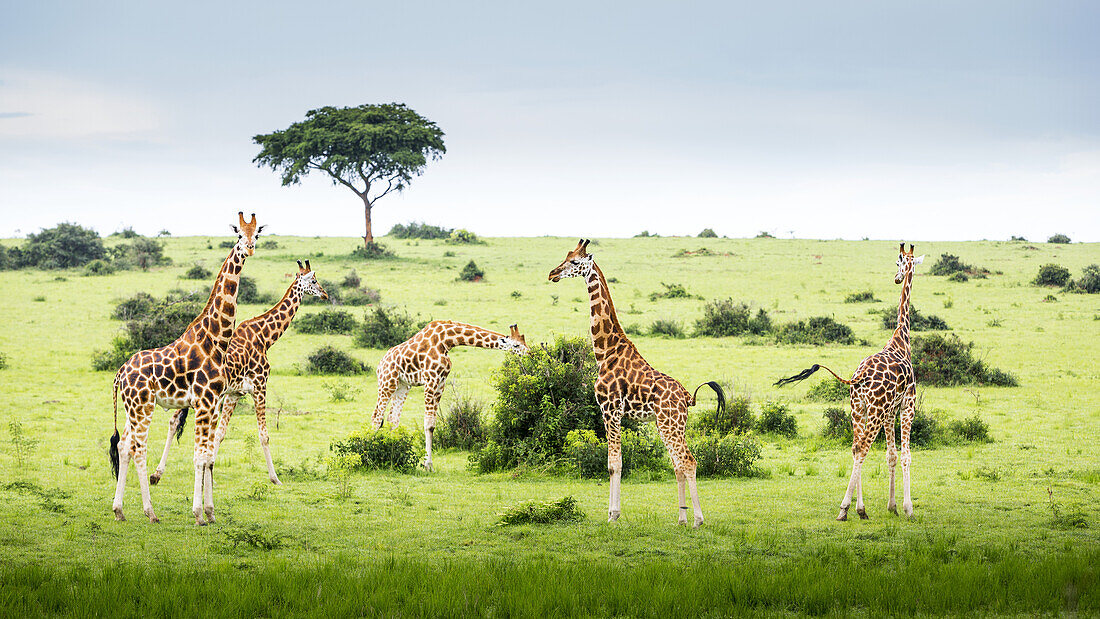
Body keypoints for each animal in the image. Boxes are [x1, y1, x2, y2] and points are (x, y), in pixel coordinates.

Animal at [108, 212, 264, 523]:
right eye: (238, 234)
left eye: (257, 234)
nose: (250, 248)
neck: (215, 340)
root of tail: (120, 373)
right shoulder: (204, 403)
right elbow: (200, 456)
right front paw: (199, 514)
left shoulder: (212, 403)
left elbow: (206, 455)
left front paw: (210, 512)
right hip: (143, 407)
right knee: (139, 449)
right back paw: (150, 512)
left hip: (132, 409)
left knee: (123, 446)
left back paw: (119, 510)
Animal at [152, 259, 327, 485]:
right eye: (313, 281)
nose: (325, 294)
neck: (265, 337)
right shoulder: (259, 386)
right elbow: (264, 435)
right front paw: (275, 478)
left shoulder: (234, 393)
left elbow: (220, 433)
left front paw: (210, 475)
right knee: (175, 422)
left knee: (174, 421)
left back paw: (157, 474)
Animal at [371, 325, 530, 470]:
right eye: (516, 345)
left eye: (525, 342)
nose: (530, 354)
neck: (447, 341)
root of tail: (380, 365)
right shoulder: (431, 380)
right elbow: (428, 423)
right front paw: (428, 465)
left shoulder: (441, 383)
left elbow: (432, 425)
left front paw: (427, 464)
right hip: (387, 382)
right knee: (376, 416)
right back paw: (372, 452)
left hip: (402, 386)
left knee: (392, 419)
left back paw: (393, 456)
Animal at [547, 238, 721, 527]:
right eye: (565, 256)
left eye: (575, 261)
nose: (552, 274)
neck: (605, 352)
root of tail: (687, 397)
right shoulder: (611, 413)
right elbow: (613, 462)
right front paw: (611, 513)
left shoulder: (610, 410)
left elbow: (614, 464)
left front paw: (613, 515)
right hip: (670, 424)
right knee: (678, 465)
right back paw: (682, 519)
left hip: (669, 424)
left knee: (688, 461)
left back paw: (698, 520)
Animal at [774, 245, 928, 521]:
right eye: (897, 262)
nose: (897, 278)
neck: (902, 338)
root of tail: (859, 377)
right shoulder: (907, 405)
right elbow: (906, 455)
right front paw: (908, 508)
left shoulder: (890, 411)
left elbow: (890, 455)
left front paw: (892, 506)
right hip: (874, 410)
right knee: (863, 447)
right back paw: (846, 508)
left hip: (858, 407)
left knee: (857, 447)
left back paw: (858, 508)